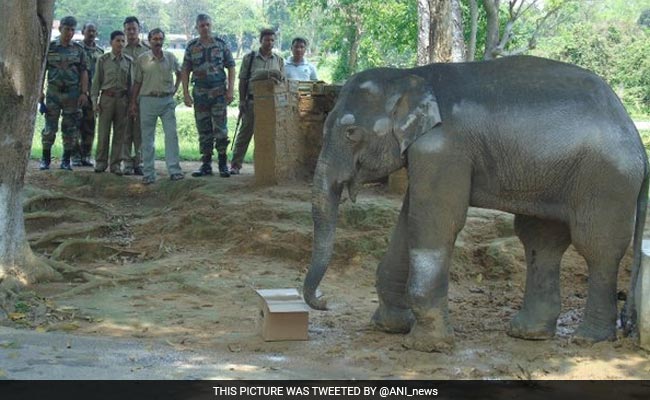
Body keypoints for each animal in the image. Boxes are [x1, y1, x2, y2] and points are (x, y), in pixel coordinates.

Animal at [304, 54, 648, 352]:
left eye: (351, 132)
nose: (324, 299)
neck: (411, 75)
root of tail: (635, 136)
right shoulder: (426, 152)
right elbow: (409, 219)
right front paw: (390, 327)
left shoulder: (442, 148)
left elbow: (437, 221)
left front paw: (427, 346)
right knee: (541, 241)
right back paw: (528, 333)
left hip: (606, 180)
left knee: (597, 247)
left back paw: (588, 339)